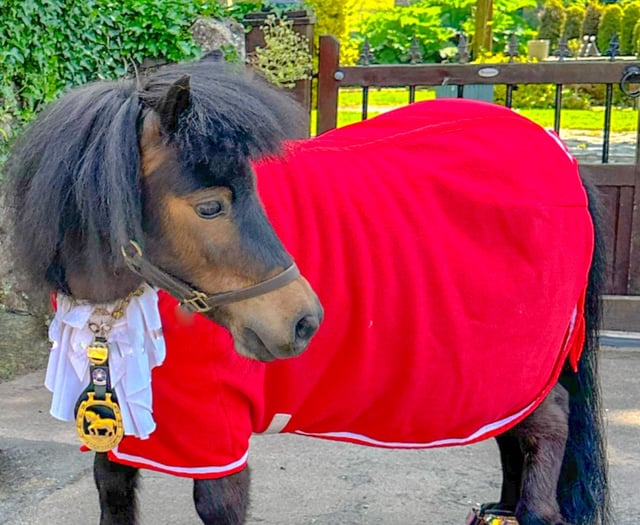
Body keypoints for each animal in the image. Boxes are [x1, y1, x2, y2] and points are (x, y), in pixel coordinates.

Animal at [3, 59, 609, 525]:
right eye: (210, 206)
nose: (304, 320)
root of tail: (560, 152)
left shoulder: (219, 444)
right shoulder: (115, 433)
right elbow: (113, 495)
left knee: (547, 426)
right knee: (514, 435)